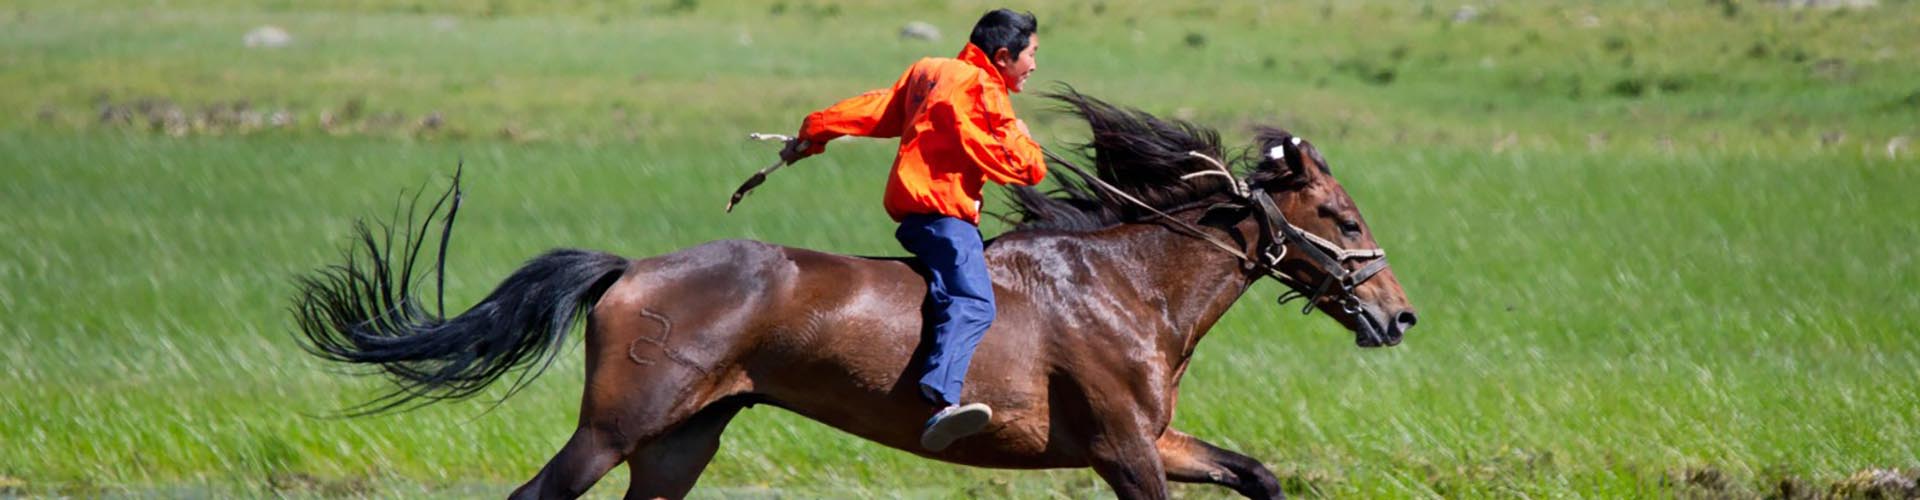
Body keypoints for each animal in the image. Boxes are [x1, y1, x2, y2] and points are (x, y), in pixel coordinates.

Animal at [291, 90, 1420, 500]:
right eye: (1343, 214)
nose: (1398, 313)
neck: (1124, 285)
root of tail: (631, 268)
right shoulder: (1125, 450)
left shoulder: (1153, 439)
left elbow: (1258, 474)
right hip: (616, 426)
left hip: (680, 441)